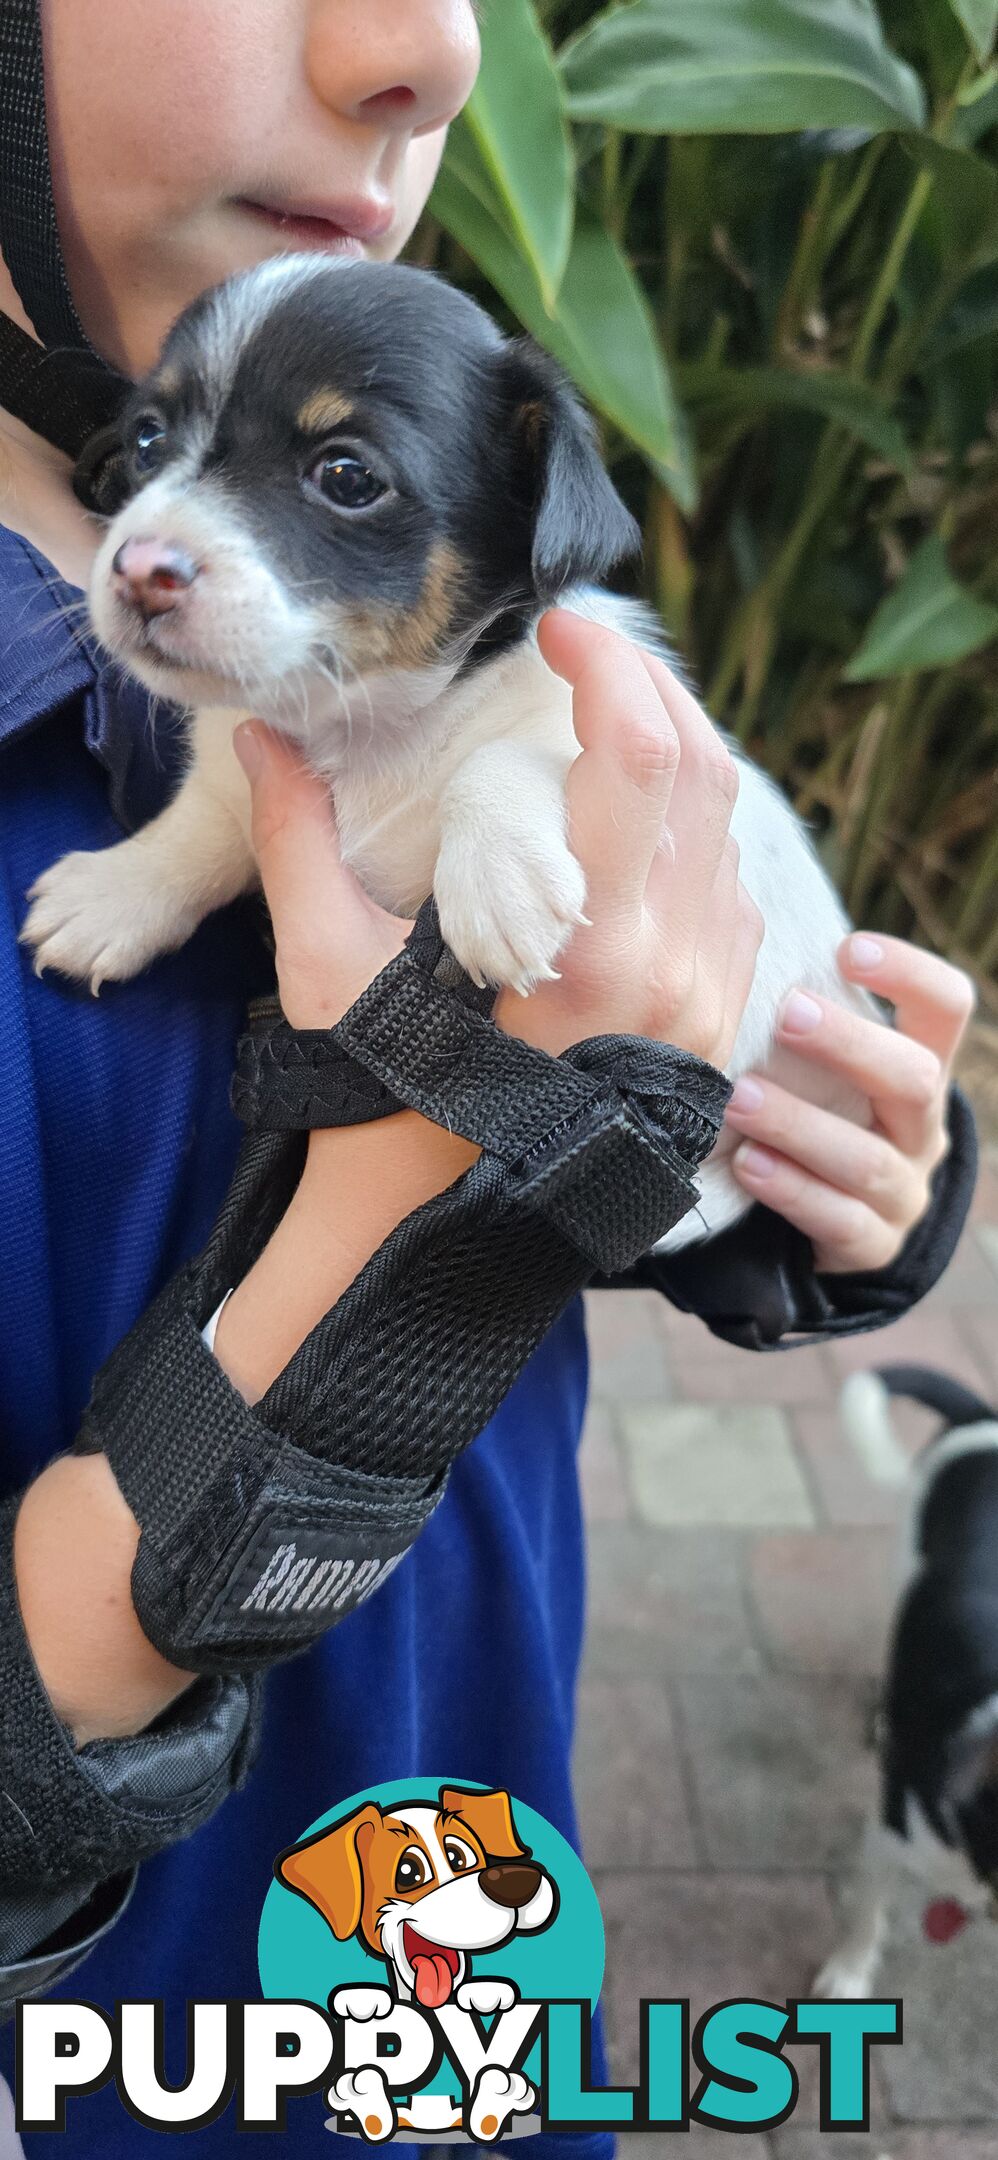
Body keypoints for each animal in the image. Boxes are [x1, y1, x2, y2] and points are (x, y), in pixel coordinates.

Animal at [19, 252, 872, 1252]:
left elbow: (505, 752)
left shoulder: (586, 715)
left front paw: (499, 879)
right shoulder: (242, 772)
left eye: (347, 475)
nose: (137, 569)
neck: (367, 732)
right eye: (148, 441)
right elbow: (201, 831)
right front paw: (117, 892)